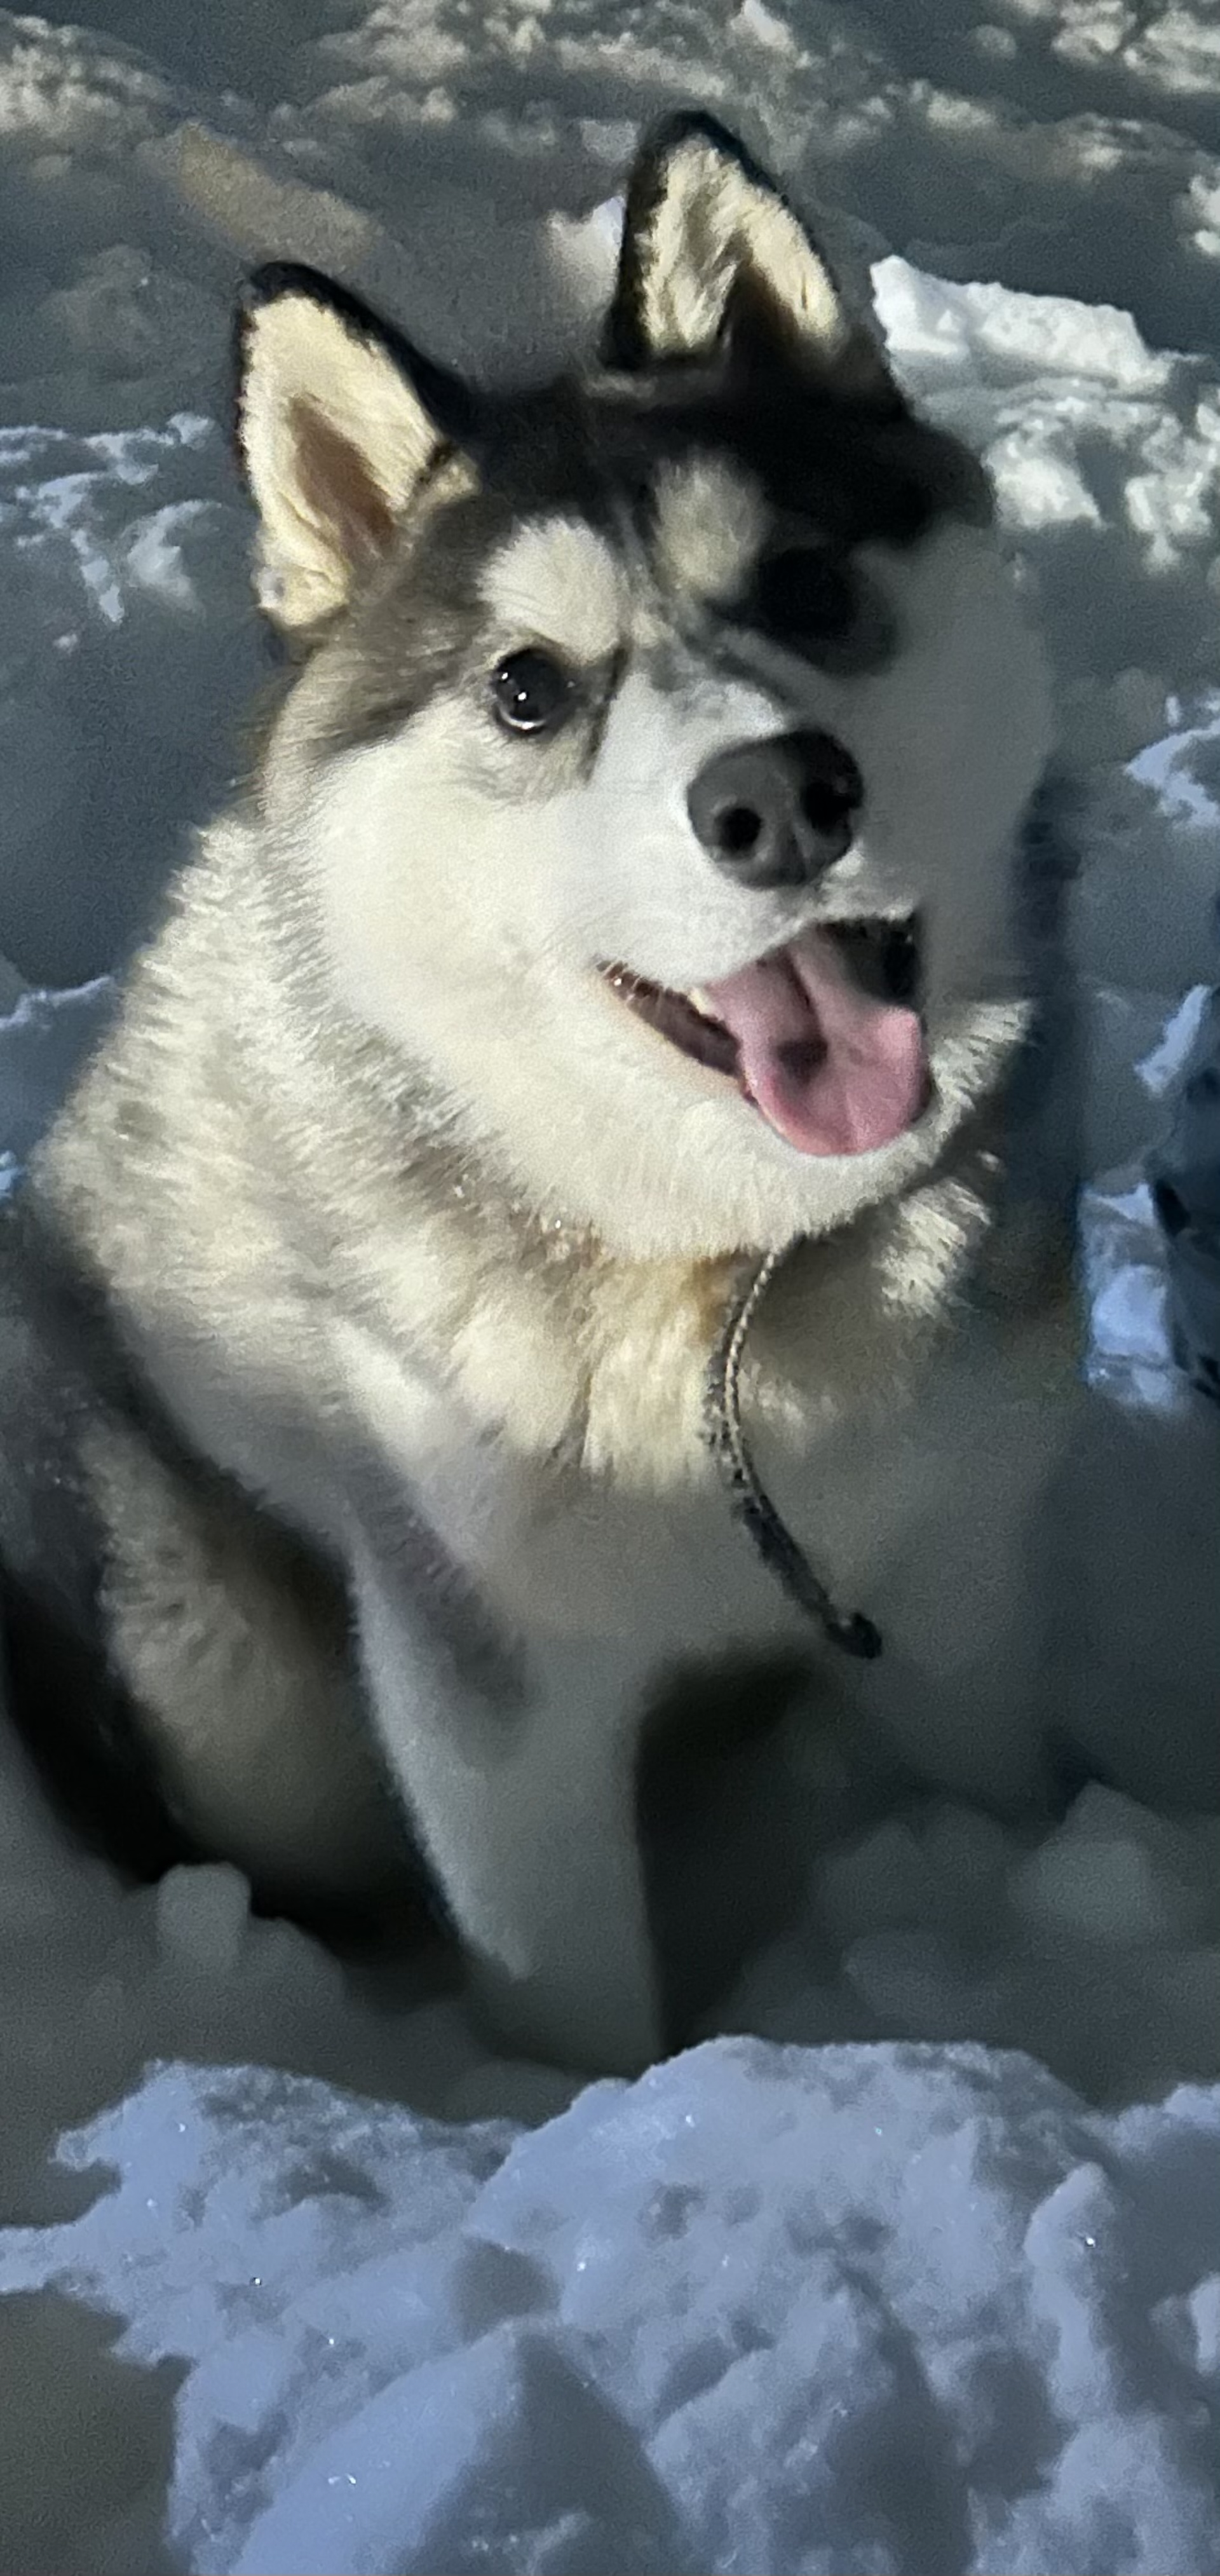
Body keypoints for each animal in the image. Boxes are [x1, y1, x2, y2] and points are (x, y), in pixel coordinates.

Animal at [0, 121, 1071, 2071]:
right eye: (526, 686)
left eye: (808, 588)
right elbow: (573, 1999)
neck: (725, 1277)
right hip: (230, 1674)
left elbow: (998, 1786)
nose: (777, 800)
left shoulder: (959, 1579)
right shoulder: (483, 1685)